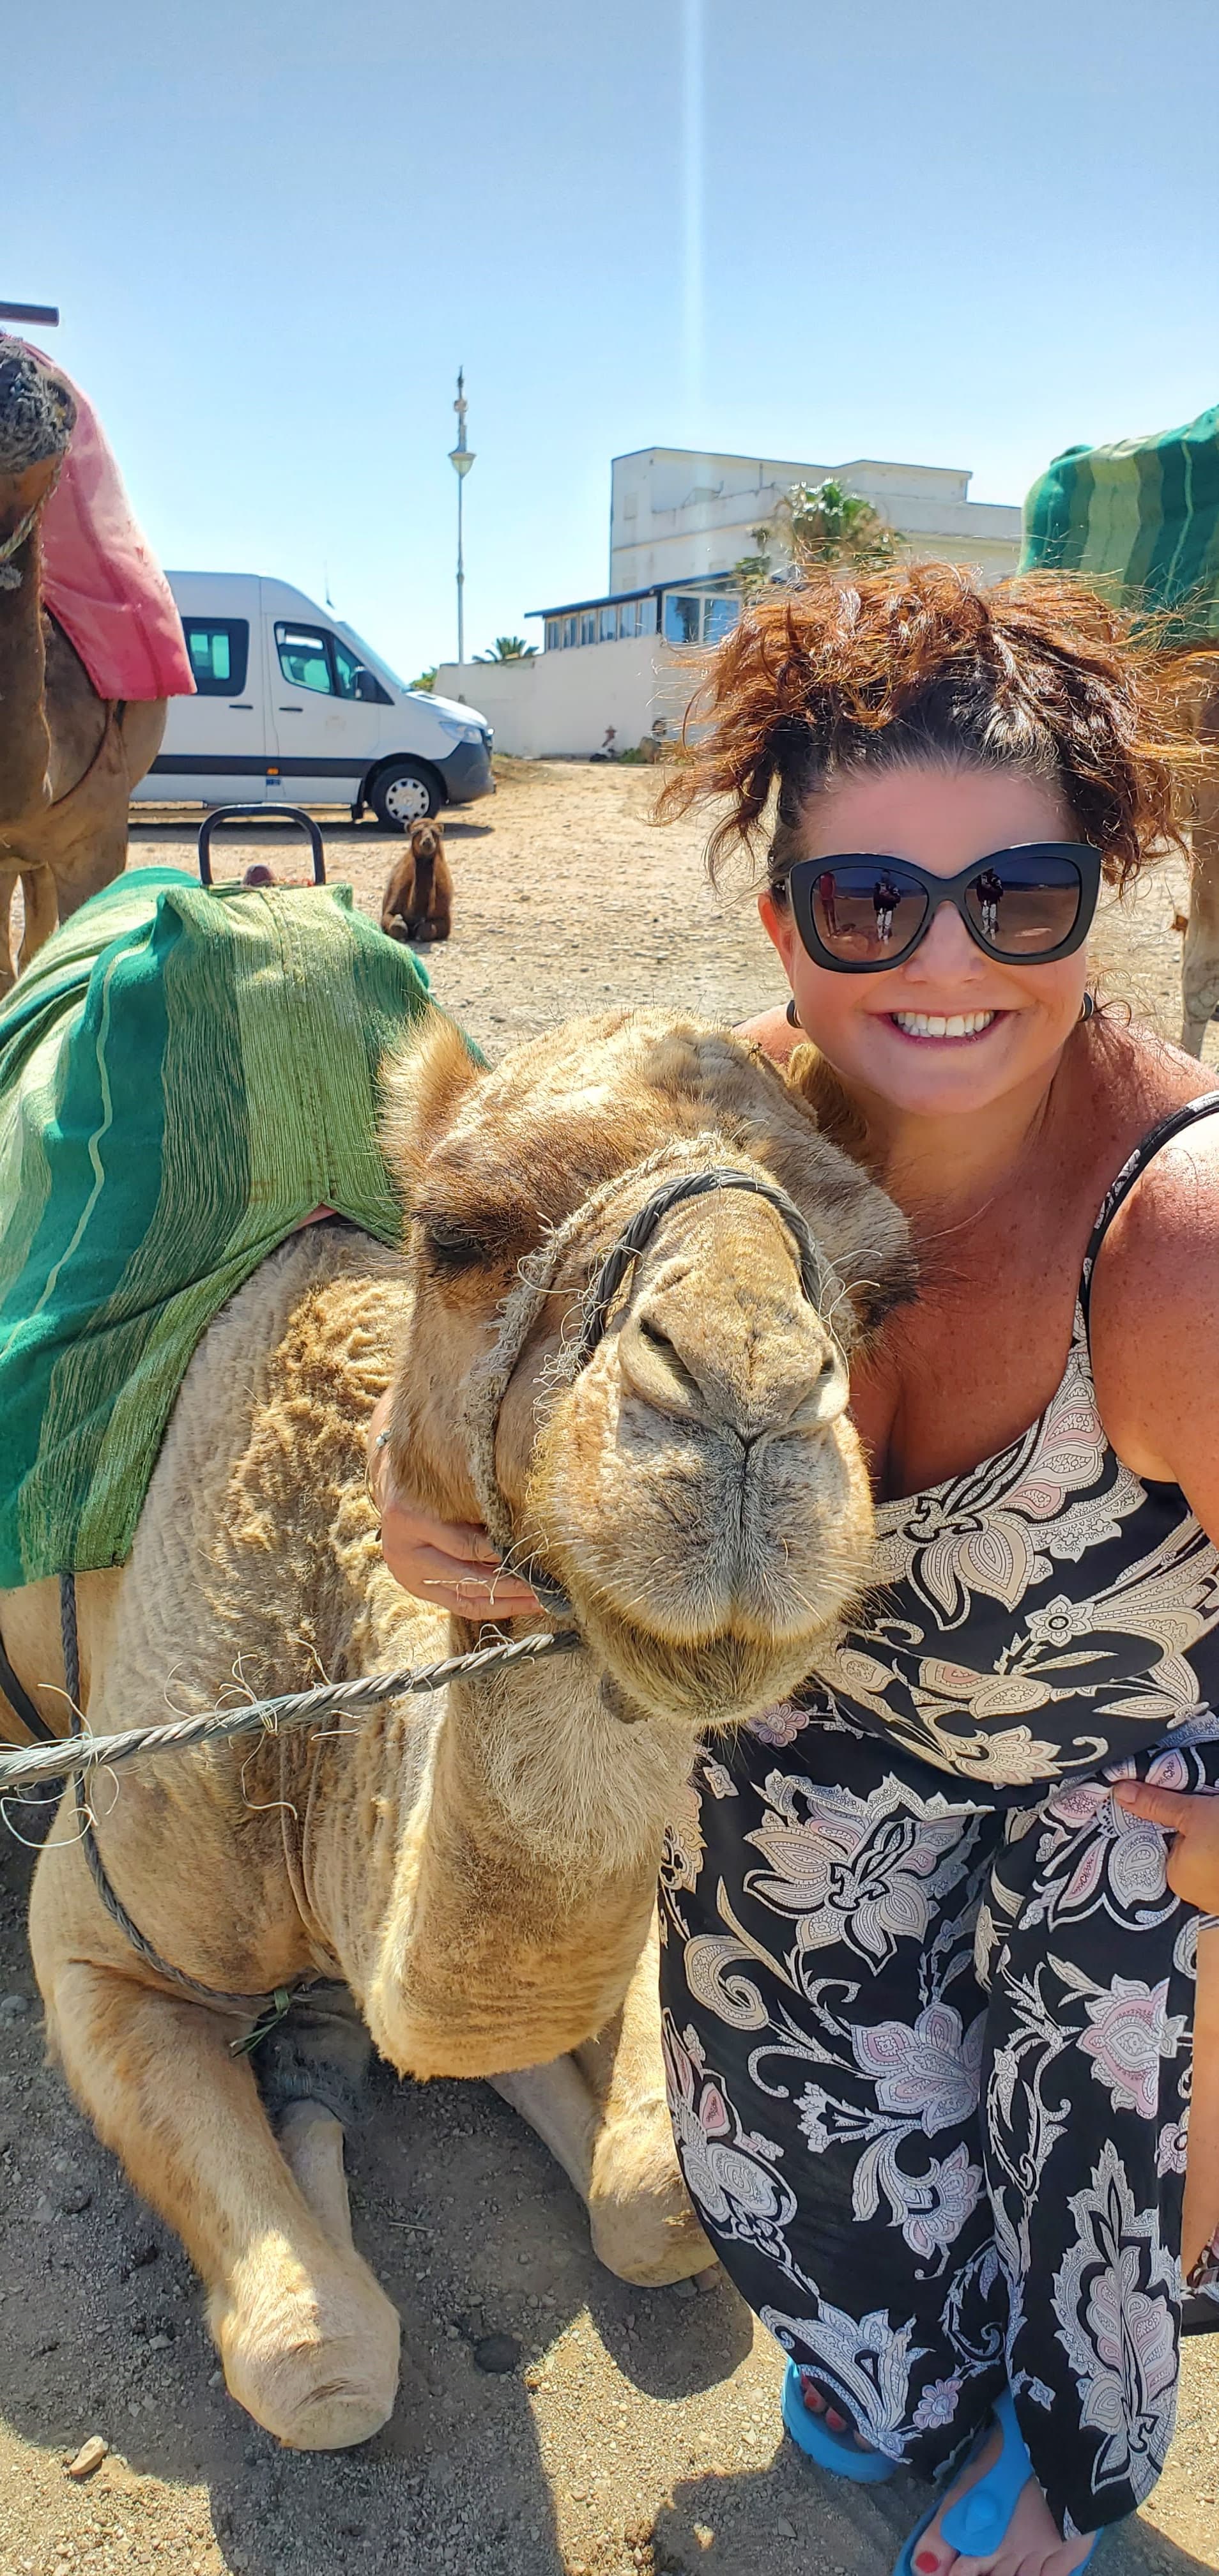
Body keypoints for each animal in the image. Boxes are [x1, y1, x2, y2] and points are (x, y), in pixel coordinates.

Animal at [1, 1008, 912, 2450]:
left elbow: (652, 2200)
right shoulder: (96, 1947)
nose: (748, 1400)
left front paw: (338, 2059)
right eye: (457, 1229)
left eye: (880, 1292)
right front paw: (311, 2098)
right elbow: (321, 2363)